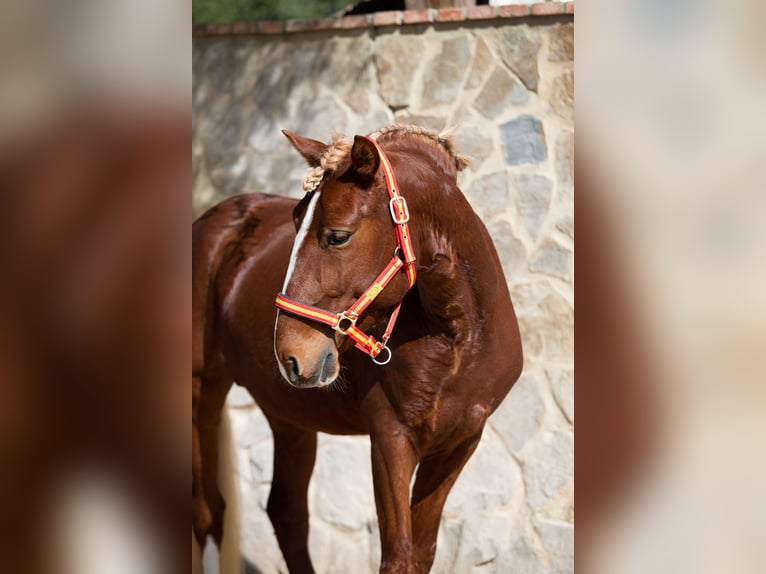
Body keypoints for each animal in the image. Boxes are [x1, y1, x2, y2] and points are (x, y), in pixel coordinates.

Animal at [195, 127, 524, 574]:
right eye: (294, 221)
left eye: (338, 235)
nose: (291, 353)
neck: (459, 341)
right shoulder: (390, 439)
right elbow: (399, 557)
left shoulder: (459, 443)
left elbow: (421, 553)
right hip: (204, 392)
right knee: (208, 513)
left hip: (289, 416)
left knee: (286, 512)